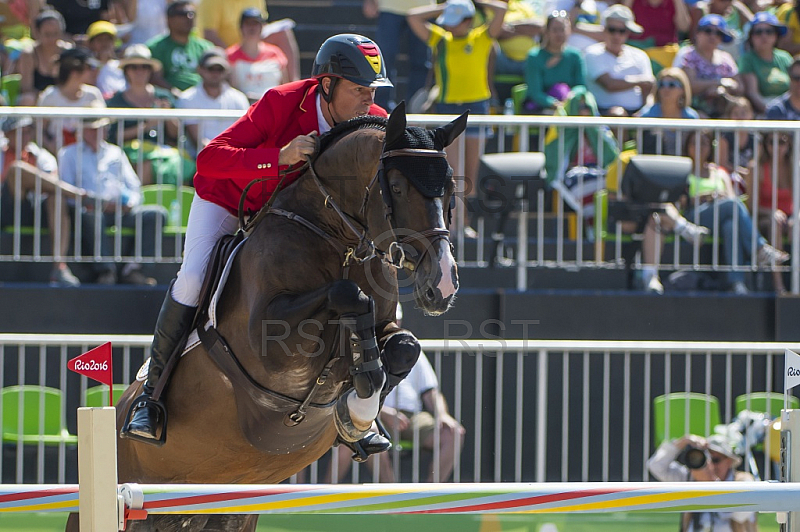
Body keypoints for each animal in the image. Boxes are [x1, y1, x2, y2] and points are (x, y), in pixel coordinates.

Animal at [67, 105, 468, 532]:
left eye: (450, 191)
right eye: (396, 186)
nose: (442, 284)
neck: (337, 238)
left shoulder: (385, 326)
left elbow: (403, 347)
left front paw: (359, 415)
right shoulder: (270, 344)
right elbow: (347, 295)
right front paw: (359, 401)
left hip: (231, 511)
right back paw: (144, 417)